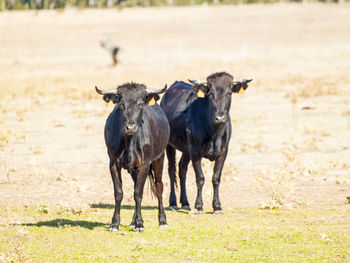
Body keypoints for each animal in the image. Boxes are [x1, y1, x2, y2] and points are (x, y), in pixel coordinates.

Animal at [96, 83, 170, 233]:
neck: (129, 141)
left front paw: (140, 224)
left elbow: (138, 193)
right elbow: (119, 193)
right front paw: (114, 224)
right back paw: (132, 222)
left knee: (159, 186)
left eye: (141, 104)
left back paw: (162, 220)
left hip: (159, 158)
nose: (130, 127)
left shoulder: (145, 164)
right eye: (121, 104)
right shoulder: (113, 164)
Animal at [161, 72, 252, 214]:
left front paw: (217, 207)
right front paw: (199, 206)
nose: (220, 117)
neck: (214, 133)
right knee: (172, 169)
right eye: (211, 93)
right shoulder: (195, 151)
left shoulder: (223, 152)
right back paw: (173, 203)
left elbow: (216, 178)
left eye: (229, 93)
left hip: (186, 150)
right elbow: (200, 178)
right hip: (170, 145)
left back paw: (185, 203)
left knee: (182, 168)